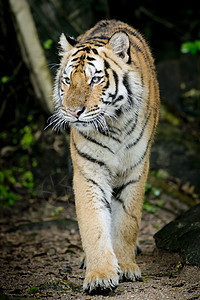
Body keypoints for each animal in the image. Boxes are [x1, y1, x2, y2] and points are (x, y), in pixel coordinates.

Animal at [50, 19, 160, 292]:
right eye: (67, 80)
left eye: (95, 79)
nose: (73, 111)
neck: (114, 123)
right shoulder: (89, 171)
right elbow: (94, 223)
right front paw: (100, 274)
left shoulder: (135, 169)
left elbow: (127, 222)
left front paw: (127, 265)